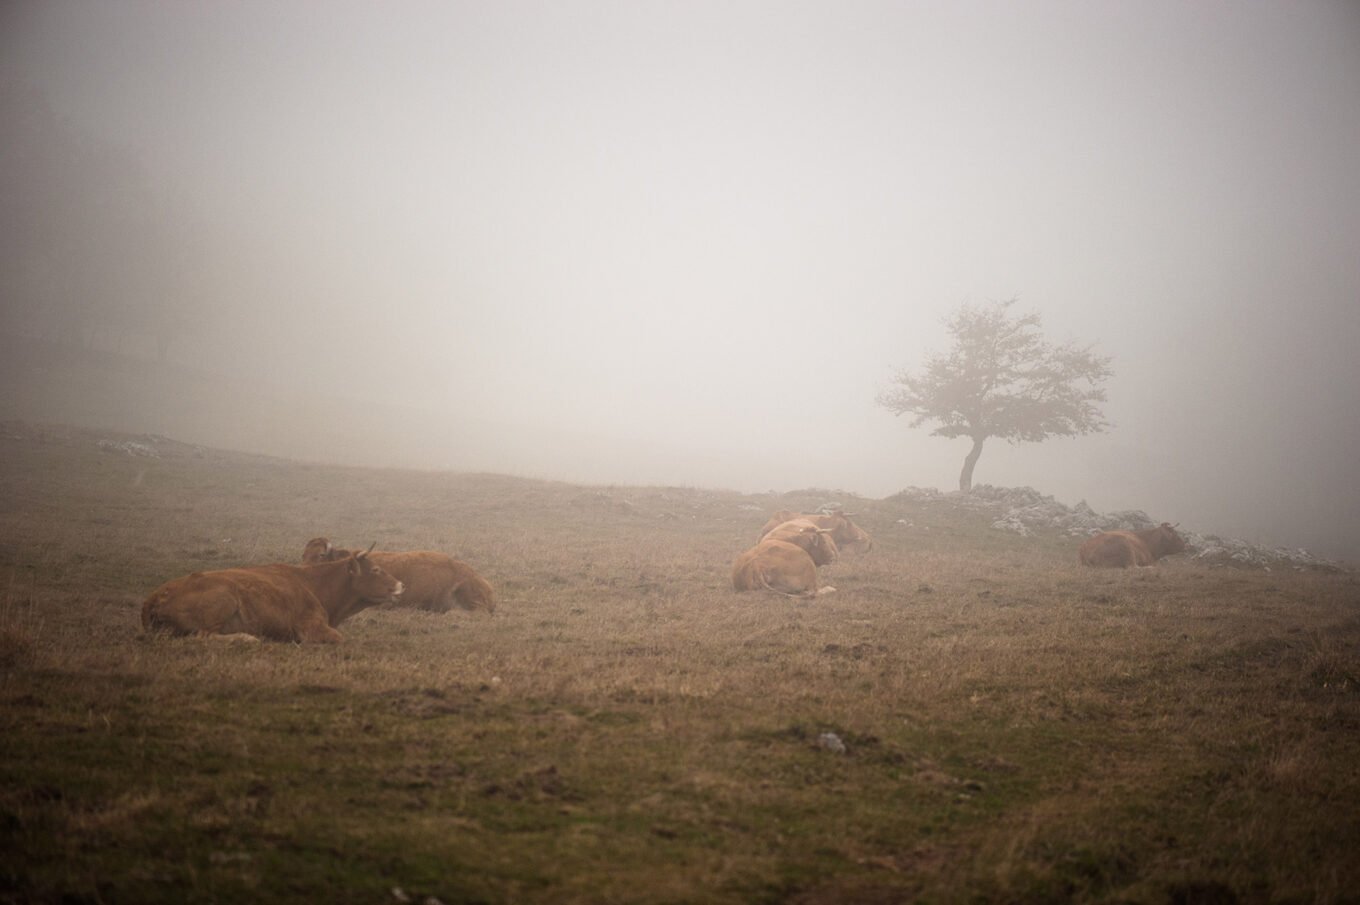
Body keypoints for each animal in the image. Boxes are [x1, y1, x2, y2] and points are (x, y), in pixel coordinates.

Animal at [141, 544, 402, 642]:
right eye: (376, 569)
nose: (401, 586)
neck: (315, 584)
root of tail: (154, 596)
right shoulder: (311, 627)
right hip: (224, 600)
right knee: (203, 637)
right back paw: (246, 638)